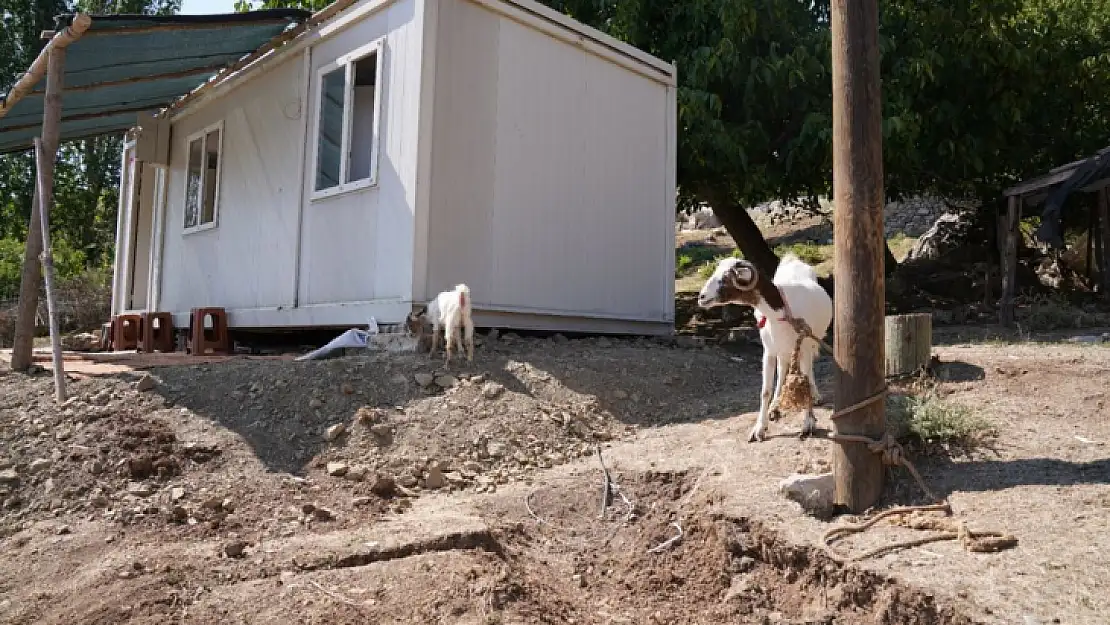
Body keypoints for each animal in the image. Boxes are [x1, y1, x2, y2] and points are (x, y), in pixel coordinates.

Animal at [697, 255, 830, 444]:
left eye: (725, 278)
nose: (701, 297)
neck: (781, 312)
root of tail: (793, 260)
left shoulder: (803, 345)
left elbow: (804, 384)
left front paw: (809, 423)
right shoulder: (769, 351)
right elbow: (765, 390)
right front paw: (759, 429)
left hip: (811, 342)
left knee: (809, 370)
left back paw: (815, 395)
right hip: (783, 350)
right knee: (782, 371)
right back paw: (775, 406)